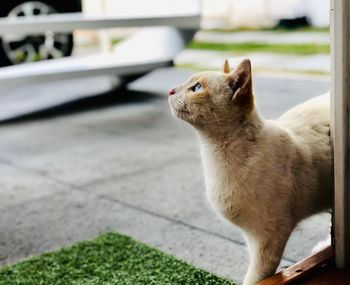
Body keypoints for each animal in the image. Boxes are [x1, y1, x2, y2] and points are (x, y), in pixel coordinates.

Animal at [168, 58, 332, 284]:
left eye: (197, 88)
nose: (170, 90)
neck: (213, 155)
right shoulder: (254, 238)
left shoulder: (268, 239)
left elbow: (254, 279)